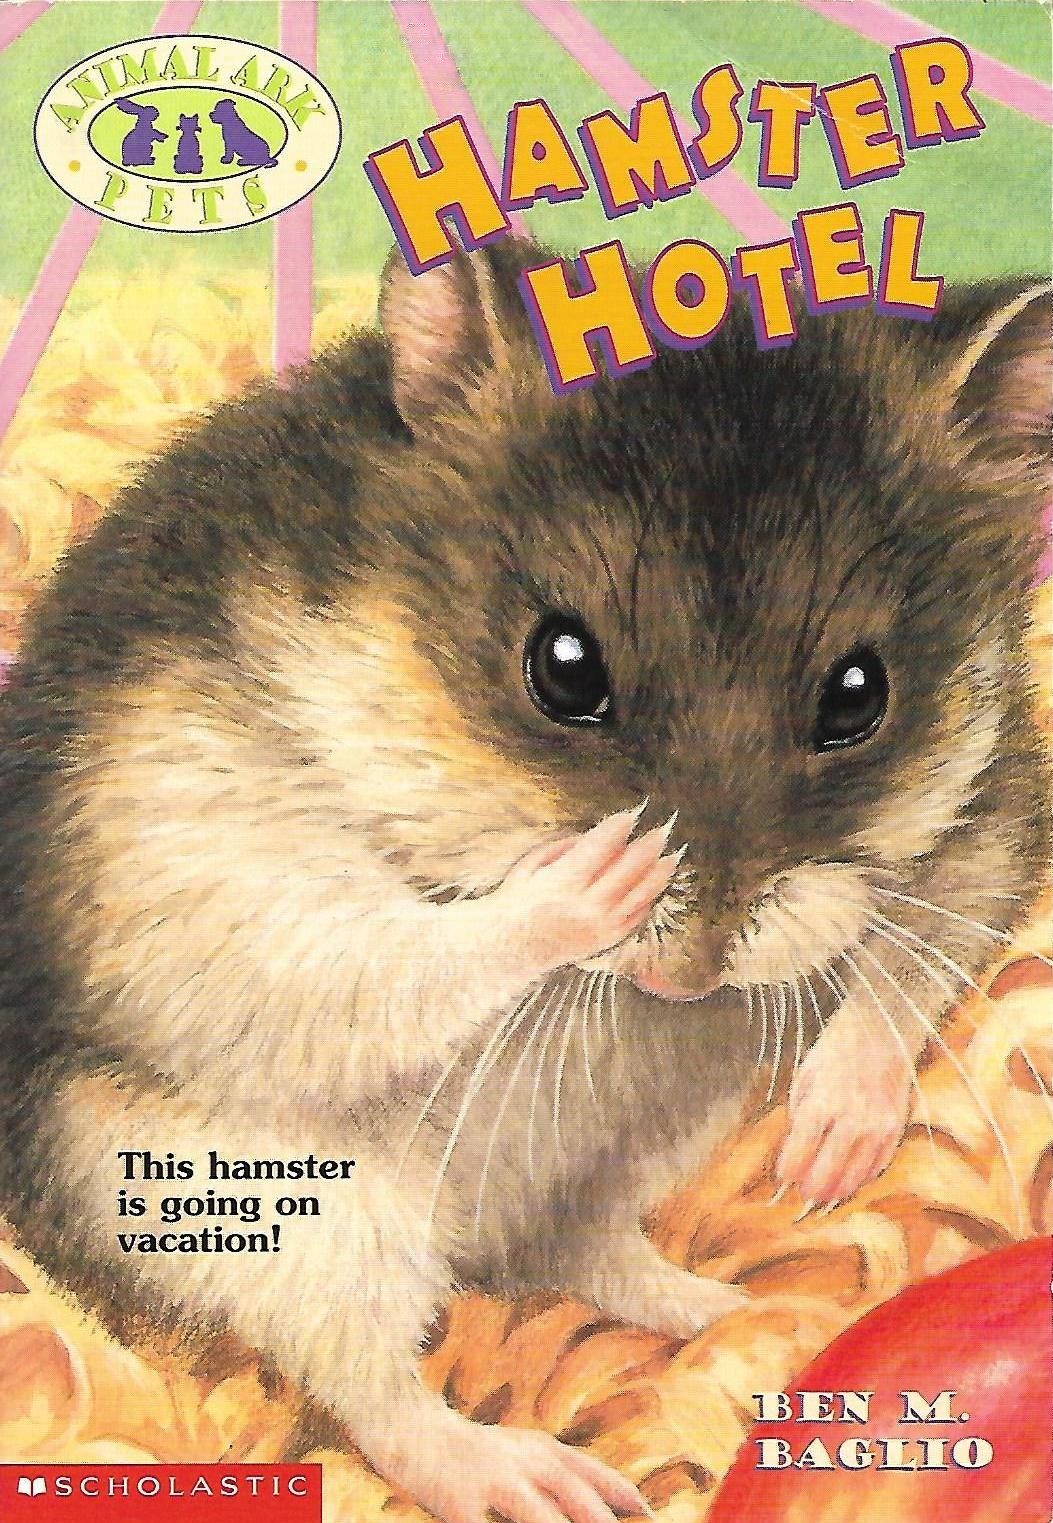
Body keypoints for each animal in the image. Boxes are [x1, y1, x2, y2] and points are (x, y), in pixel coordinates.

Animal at [0, 237, 1048, 1523]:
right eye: (563, 668)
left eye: (861, 695)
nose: (691, 983)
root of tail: (471, 1233)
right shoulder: (202, 859)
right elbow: (392, 952)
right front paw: (597, 872)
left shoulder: (996, 796)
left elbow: (921, 945)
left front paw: (824, 1150)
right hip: (270, 1216)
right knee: (382, 1394)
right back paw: (544, 1477)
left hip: (645, 1134)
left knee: (577, 1249)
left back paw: (746, 1311)